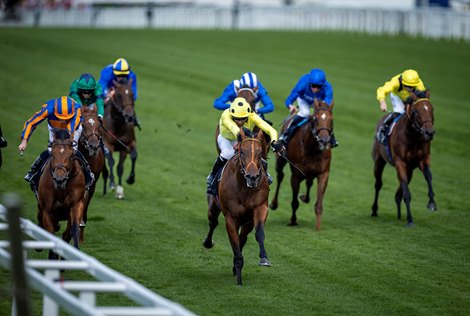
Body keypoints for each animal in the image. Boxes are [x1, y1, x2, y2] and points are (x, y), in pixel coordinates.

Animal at [37, 128, 86, 260]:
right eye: (53, 154)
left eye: (71, 155)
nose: (60, 179)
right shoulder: (47, 210)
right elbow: (51, 235)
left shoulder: (76, 204)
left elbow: (73, 230)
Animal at [203, 127, 272, 286]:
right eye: (242, 152)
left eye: (260, 153)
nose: (252, 177)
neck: (244, 188)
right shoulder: (230, 217)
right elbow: (235, 245)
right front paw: (239, 278)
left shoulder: (260, 208)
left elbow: (259, 234)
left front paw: (264, 258)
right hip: (213, 206)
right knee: (213, 222)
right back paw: (208, 242)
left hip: (246, 221)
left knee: (243, 238)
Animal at [268, 100, 334, 231]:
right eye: (315, 119)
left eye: (331, 120)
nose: (324, 141)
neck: (313, 150)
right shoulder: (296, 176)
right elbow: (294, 202)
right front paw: (293, 220)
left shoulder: (323, 174)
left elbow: (319, 204)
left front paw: (318, 226)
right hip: (280, 161)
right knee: (280, 176)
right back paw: (274, 203)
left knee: (309, 182)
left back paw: (304, 196)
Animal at [370, 97, 436, 226]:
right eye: (416, 111)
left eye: (432, 109)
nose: (429, 132)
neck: (413, 138)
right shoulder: (400, 162)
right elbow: (406, 192)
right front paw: (410, 220)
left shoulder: (423, 159)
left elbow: (428, 176)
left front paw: (432, 203)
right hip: (379, 161)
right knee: (378, 184)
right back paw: (375, 210)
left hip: (409, 170)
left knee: (399, 190)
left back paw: (399, 213)